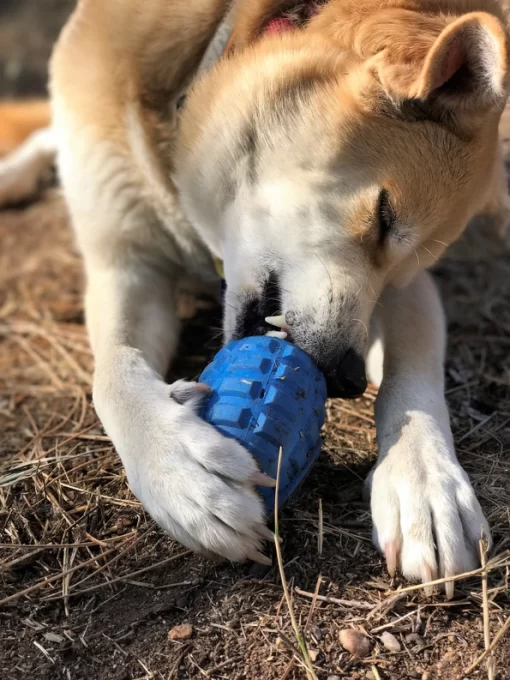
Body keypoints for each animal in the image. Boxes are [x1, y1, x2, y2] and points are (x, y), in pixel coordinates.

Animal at [0, 0, 510, 592]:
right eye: (384, 216)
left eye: (406, 263)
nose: (347, 377)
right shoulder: (125, 266)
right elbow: (113, 372)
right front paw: (178, 468)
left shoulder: (409, 292)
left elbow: (414, 375)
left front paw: (425, 482)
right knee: (47, 135)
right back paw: (15, 174)